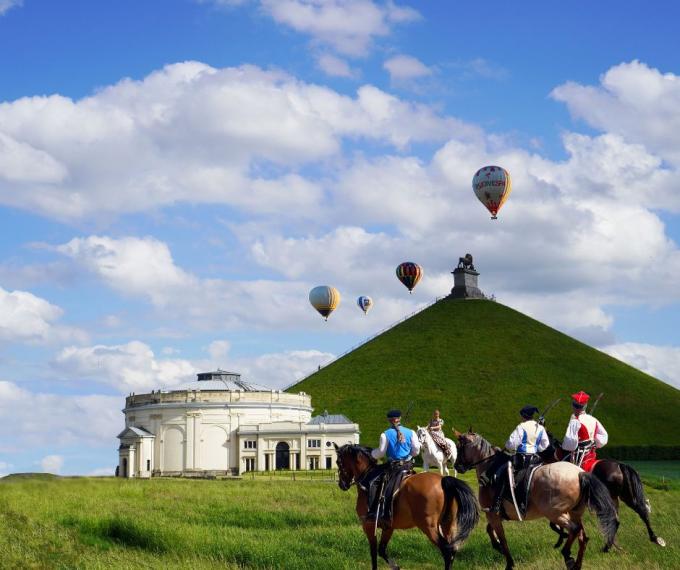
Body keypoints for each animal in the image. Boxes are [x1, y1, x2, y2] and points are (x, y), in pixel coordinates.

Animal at [334, 444, 478, 568]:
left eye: (338, 462)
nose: (342, 485)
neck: (367, 477)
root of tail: (443, 480)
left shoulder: (368, 526)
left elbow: (374, 553)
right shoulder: (388, 526)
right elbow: (381, 550)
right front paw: (395, 566)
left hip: (428, 527)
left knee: (447, 552)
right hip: (448, 524)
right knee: (452, 550)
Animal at [454, 430, 620, 568]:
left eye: (459, 447)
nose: (456, 466)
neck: (490, 469)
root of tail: (579, 473)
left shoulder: (492, 514)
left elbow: (502, 538)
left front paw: (509, 562)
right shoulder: (497, 515)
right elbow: (490, 531)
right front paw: (498, 547)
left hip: (555, 513)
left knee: (574, 530)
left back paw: (567, 554)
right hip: (574, 513)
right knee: (582, 537)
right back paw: (576, 563)